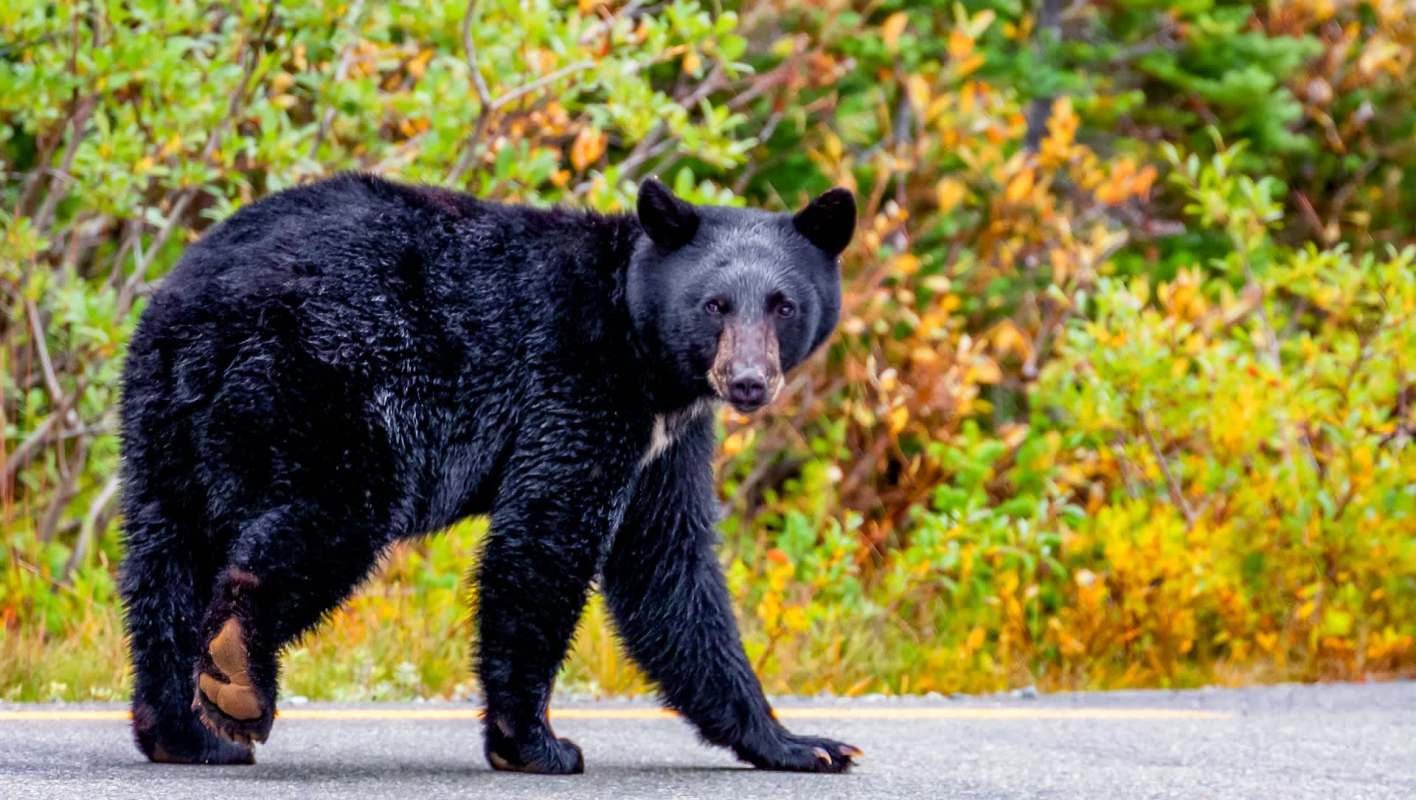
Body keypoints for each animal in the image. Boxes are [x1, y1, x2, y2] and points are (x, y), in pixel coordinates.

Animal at [117, 172, 859, 773]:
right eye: (715, 304)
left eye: (783, 304)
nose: (749, 381)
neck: (639, 343)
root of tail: (202, 307)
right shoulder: (577, 387)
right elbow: (545, 539)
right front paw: (534, 743)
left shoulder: (666, 442)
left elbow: (667, 568)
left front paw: (798, 743)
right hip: (328, 387)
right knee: (328, 522)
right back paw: (237, 675)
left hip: (161, 422)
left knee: (163, 565)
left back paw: (187, 733)